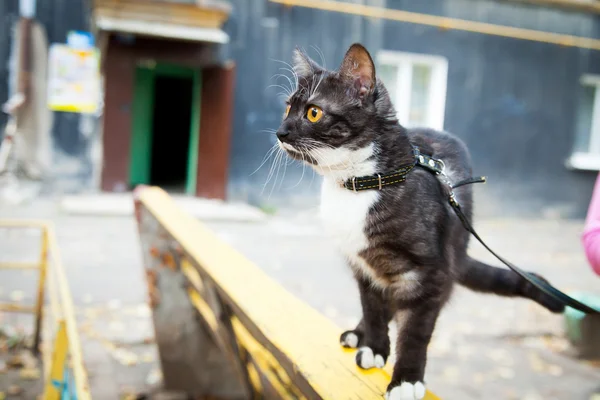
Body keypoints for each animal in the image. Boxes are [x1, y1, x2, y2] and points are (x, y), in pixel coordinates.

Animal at [274, 43, 564, 400]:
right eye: (288, 107)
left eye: (313, 112)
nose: (281, 131)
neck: (363, 182)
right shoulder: (363, 266)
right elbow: (372, 309)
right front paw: (374, 346)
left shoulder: (429, 273)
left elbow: (415, 331)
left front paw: (406, 379)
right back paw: (359, 334)